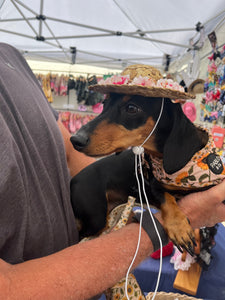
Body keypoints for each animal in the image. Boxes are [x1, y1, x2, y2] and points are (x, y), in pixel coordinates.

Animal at [70, 65, 223, 253]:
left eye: (131, 108)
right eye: (104, 104)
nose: (75, 139)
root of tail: (73, 180)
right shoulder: (154, 186)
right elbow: (166, 197)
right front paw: (179, 227)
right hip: (95, 218)